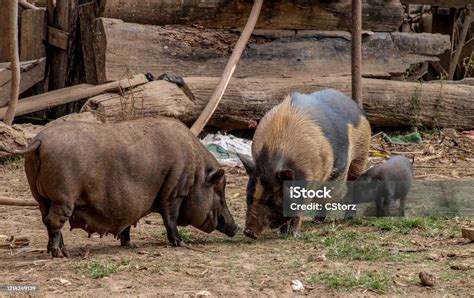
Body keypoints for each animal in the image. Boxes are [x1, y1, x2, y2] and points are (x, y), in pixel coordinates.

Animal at [0, 117, 237, 258]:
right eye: (220, 194)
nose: (235, 228)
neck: (196, 175)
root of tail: (39, 141)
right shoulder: (174, 192)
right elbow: (170, 219)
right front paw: (180, 244)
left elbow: (128, 223)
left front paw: (128, 244)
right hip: (62, 197)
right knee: (53, 221)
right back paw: (59, 254)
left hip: (40, 197)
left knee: (45, 219)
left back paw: (63, 251)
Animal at [239, 89, 372, 240]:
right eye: (250, 195)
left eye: (271, 199)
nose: (248, 232)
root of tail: (355, 106)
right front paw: (283, 233)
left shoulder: (311, 179)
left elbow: (299, 208)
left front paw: (294, 235)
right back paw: (317, 221)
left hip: (361, 155)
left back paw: (347, 218)